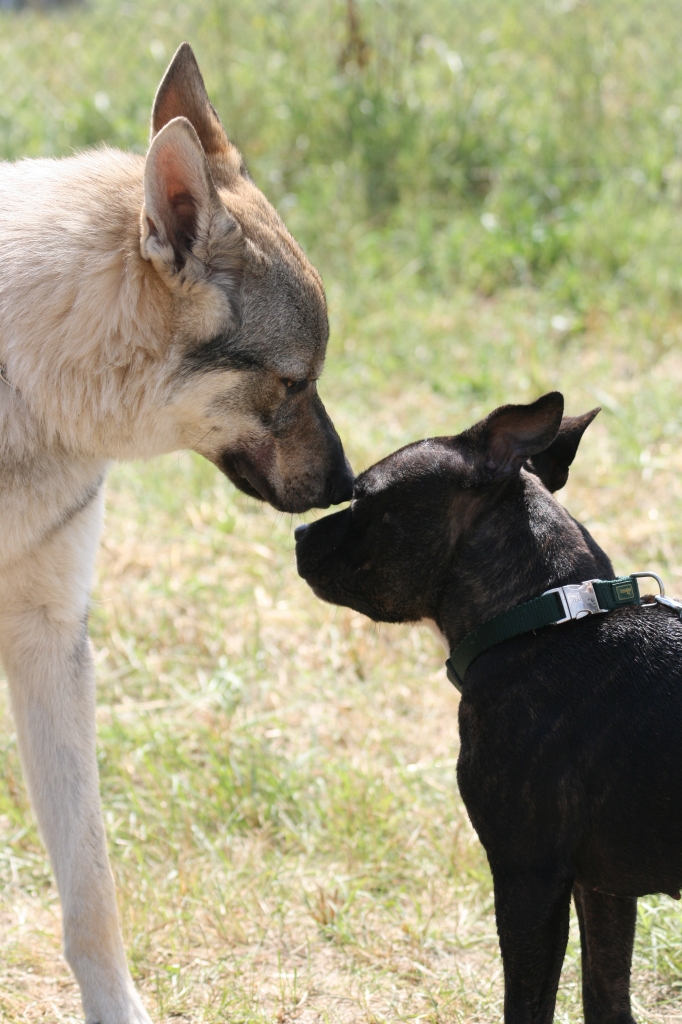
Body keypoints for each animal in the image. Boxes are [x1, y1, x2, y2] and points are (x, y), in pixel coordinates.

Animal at [294, 391, 679, 1024]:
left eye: (363, 498)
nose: (300, 532)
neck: (538, 622)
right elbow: (605, 994)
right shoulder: (602, 889)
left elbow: (526, 1002)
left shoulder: (528, 879)